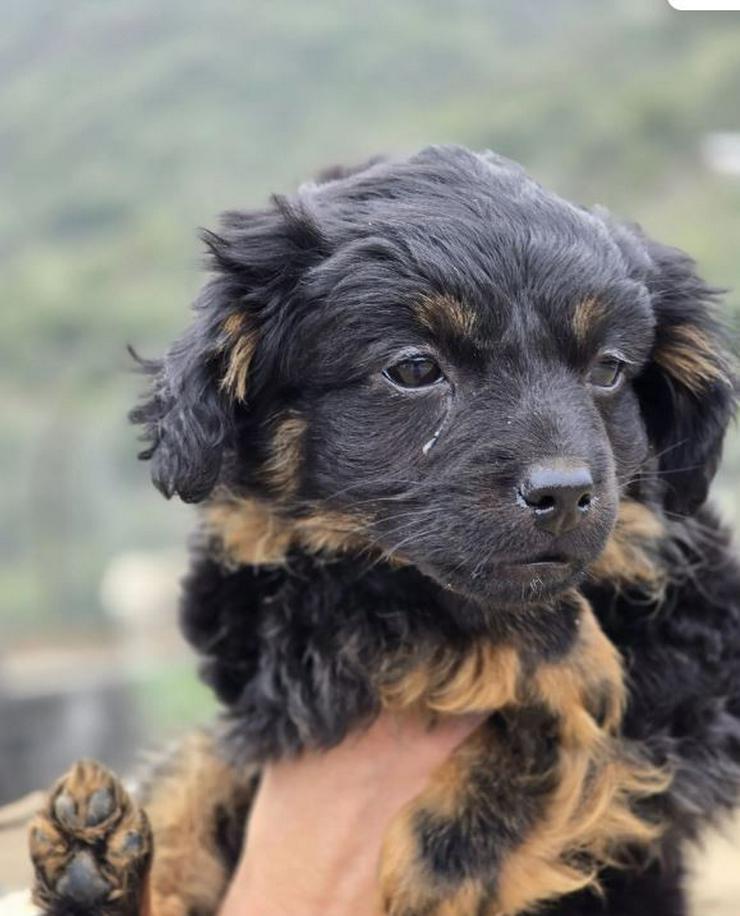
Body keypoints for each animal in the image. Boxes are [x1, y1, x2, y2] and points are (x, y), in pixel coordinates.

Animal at [28, 147, 740, 912]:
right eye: (415, 369)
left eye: (608, 369)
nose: (565, 492)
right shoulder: (250, 627)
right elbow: (351, 597)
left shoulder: (703, 638)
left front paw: (449, 851)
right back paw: (92, 864)